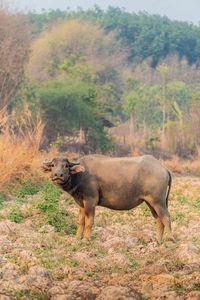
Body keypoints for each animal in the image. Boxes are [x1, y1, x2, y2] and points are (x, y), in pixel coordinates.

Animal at [41, 155, 174, 244]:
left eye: (66, 165)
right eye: (53, 165)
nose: (58, 175)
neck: (81, 175)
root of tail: (164, 168)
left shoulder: (91, 201)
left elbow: (89, 222)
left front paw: (86, 238)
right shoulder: (81, 203)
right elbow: (80, 221)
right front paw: (77, 237)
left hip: (158, 201)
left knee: (166, 217)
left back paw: (170, 240)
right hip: (150, 202)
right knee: (159, 220)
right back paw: (157, 241)